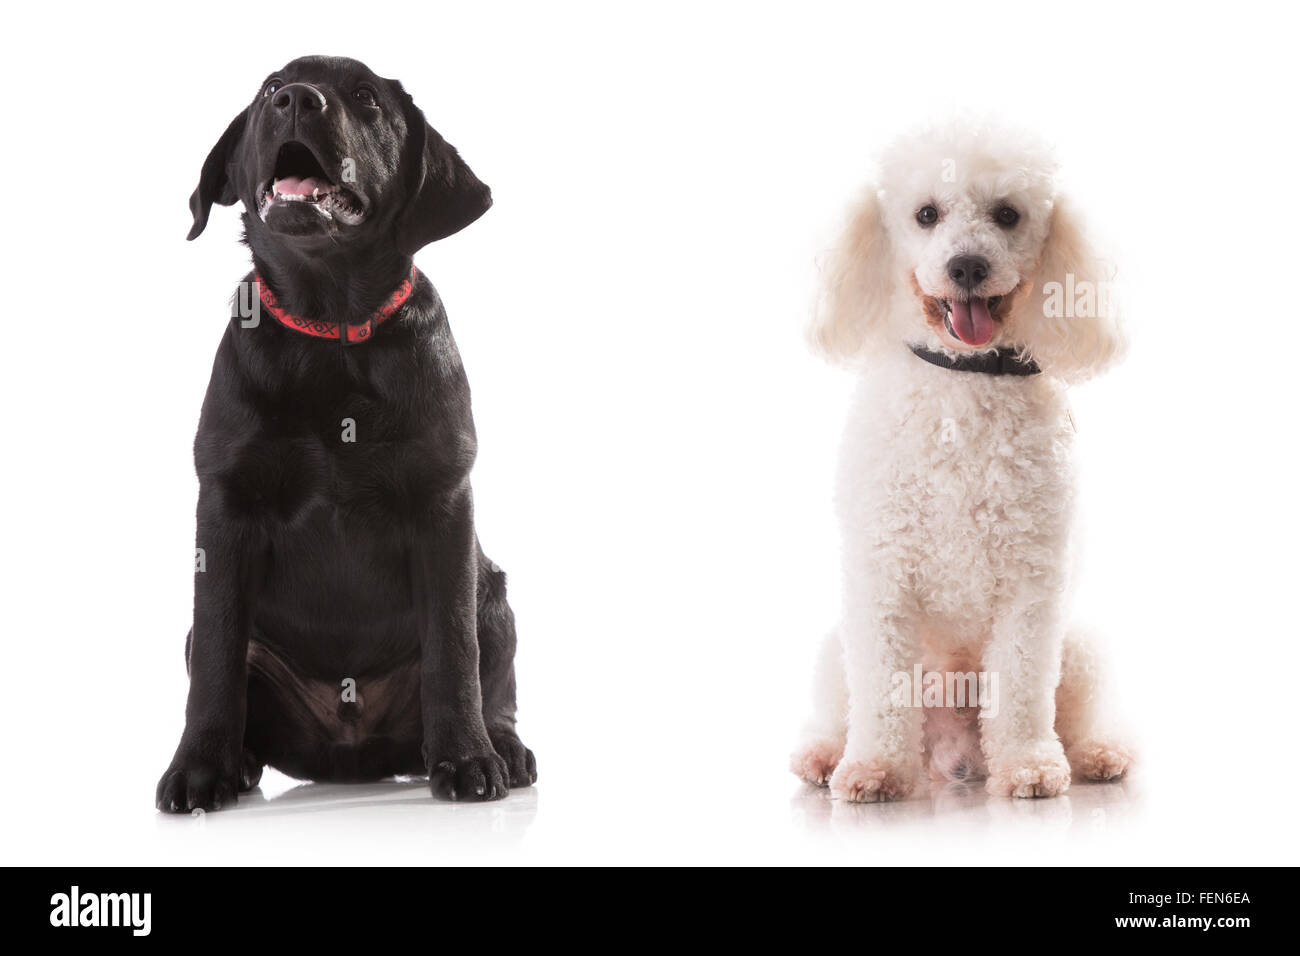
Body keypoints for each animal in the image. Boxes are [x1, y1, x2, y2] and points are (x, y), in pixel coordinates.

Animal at [157, 55, 533, 811]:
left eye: (365, 98)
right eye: (269, 89)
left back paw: (502, 749)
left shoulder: (443, 502)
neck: (330, 330)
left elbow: (454, 651)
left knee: (494, 683)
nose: (298, 100)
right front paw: (200, 768)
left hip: (496, 596)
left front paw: (467, 759)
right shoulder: (225, 504)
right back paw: (241, 762)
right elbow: (215, 654)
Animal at [785, 125, 1133, 801]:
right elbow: (881, 692)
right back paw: (825, 755)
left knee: (1076, 714)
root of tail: (952, 753)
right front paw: (874, 768)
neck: (964, 378)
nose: (966, 266)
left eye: (1008, 214)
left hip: (1077, 646)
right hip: (838, 647)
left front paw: (1028, 764)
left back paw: (1096, 753)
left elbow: (1021, 687)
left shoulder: (1033, 583)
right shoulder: (882, 574)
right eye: (926, 214)